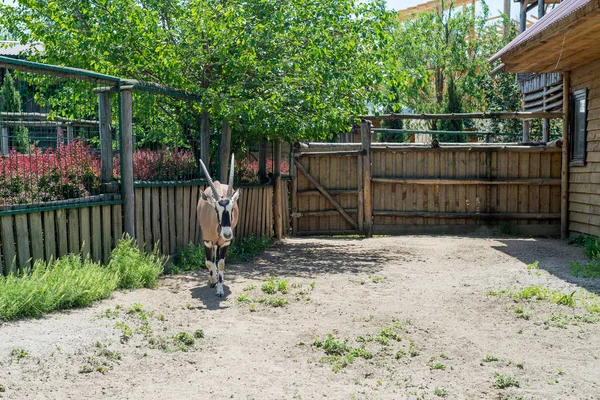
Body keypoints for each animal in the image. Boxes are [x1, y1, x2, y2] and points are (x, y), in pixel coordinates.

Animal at [197, 155, 239, 296]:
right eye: (216, 209)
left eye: (232, 209)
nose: (227, 234)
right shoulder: (207, 241)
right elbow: (209, 262)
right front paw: (212, 280)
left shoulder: (225, 243)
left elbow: (221, 264)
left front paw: (220, 290)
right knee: (212, 259)